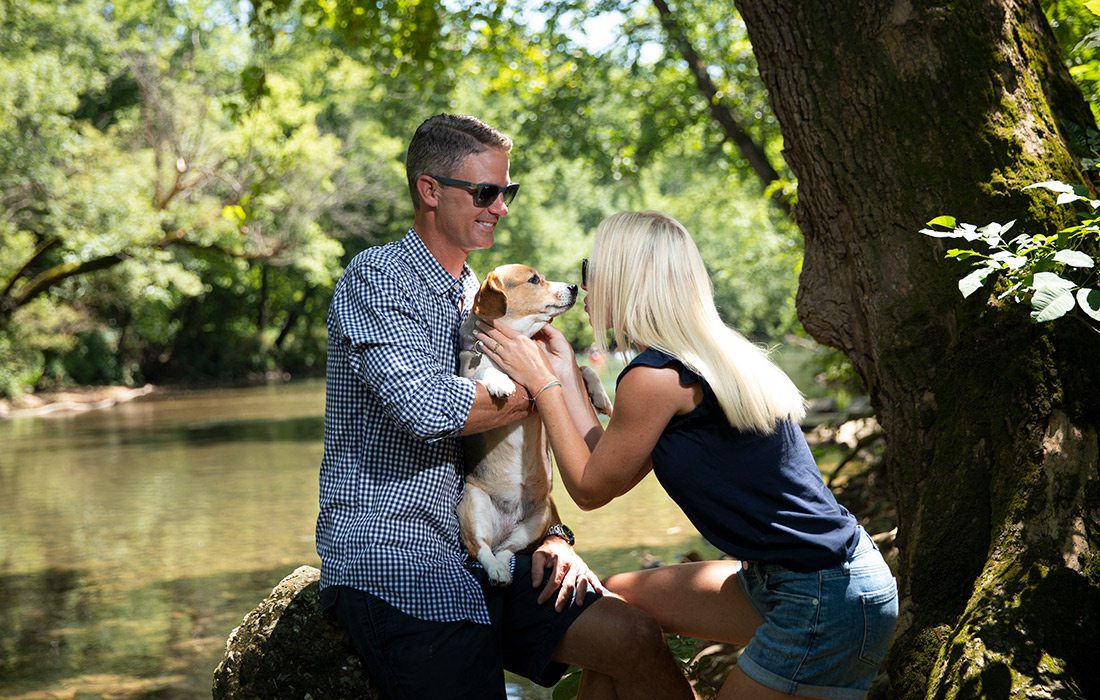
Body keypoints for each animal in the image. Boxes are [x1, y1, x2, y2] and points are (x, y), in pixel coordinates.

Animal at [453, 261, 611, 585]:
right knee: (483, 549)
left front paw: (601, 397)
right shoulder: (466, 373)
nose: (573, 287)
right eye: (534, 280)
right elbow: (483, 371)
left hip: (536, 520)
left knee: (506, 551)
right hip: (473, 503)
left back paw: (503, 567)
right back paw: (496, 571)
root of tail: (504, 527)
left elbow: (584, 369)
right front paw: (500, 381)